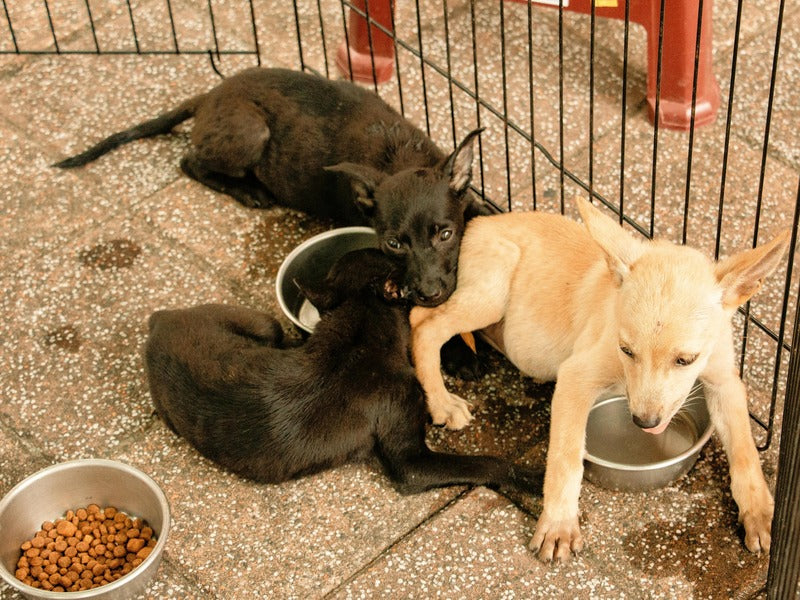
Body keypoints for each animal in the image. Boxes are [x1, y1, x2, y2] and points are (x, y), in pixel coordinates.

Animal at [144, 248, 544, 496]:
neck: (361, 327)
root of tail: (158, 320)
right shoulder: (412, 462)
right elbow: (486, 463)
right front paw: (535, 478)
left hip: (263, 326)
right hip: (262, 325)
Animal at [410, 199, 792, 560]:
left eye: (686, 360)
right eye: (626, 350)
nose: (644, 422)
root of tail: (479, 221)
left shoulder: (725, 383)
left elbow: (744, 451)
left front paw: (760, 514)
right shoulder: (576, 376)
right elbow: (566, 456)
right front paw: (559, 524)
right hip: (490, 293)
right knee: (422, 323)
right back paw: (442, 399)